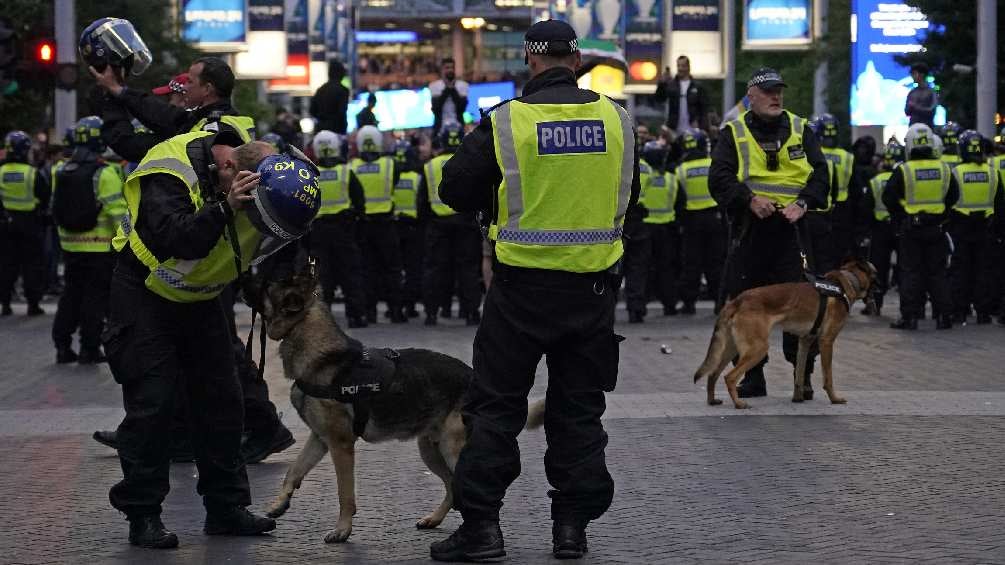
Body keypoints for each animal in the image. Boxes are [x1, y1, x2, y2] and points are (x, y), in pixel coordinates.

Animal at [255, 266, 545, 544]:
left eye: (267, 286)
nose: (251, 275)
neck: (324, 355)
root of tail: (474, 377)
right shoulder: (320, 439)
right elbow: (294, 470)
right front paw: (279, 504)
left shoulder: (340, 445)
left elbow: (344, 494)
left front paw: (342, 531)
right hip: (430, 450)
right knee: (453, 487)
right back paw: (434, 519)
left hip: (451, 448)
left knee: (471, 485)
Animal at [693, 257, 877, 409]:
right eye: (875, 274)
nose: (879, 289)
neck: (848, 281)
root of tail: (737, 300)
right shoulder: (826, 341)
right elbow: (828, 377)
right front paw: (834, 399)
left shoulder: (804, 341)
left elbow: (800, 373)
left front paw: (798, 398)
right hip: (758, 349)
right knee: (729, 377)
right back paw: (739, 404)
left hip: (731, 350)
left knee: (713, 374)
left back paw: (712, 400)